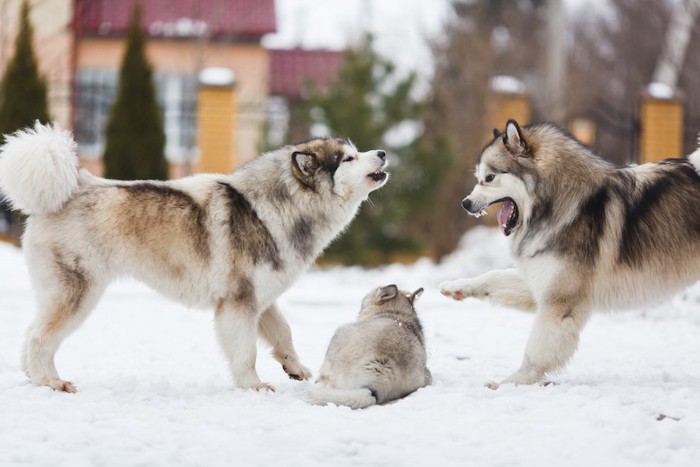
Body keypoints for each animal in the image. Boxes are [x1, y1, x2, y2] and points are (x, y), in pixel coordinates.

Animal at [0, 122, 388, 394]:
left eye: (357, 151)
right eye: (348, 158)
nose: (383, 152)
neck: (273, 209)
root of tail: (76, 185)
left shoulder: (261, 298)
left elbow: (283, 332)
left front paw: (295, 367)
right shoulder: (238, 303)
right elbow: (246, 351)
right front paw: (253, 386)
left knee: (32, 334)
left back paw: (36, 377)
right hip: (78, 293)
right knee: (40, 338)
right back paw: (51, 382)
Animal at [440, 119, 700, 388]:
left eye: (489, 178)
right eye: (479, 178)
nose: (465, 203)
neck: (558, 202)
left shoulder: (560, 300)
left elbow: (535, 352)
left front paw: (510, 383)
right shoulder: (542, 280)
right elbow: (493, 277)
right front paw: (456, 287)